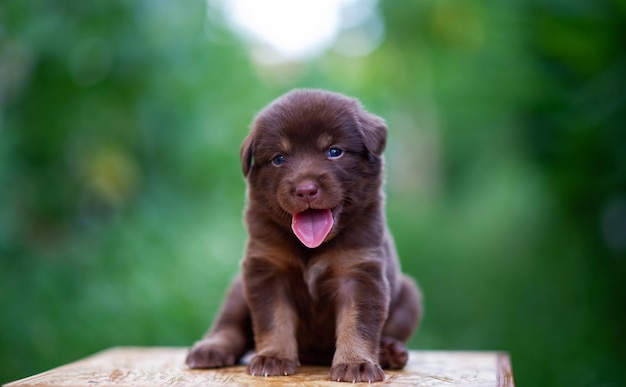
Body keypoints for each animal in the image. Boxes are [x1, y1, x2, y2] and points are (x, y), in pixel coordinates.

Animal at [185, 89, 420, 384]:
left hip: (410, 295)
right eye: (279, 158)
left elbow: (357, 322)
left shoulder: (360, 270)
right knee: (228, 325)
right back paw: (210, 349)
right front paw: (273, 357)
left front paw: (356, 364)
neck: (311, 247)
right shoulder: (266, 269)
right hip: (239, 288)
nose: (306, 190)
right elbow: (274, 319)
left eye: (334, 152)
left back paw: (390, 352)